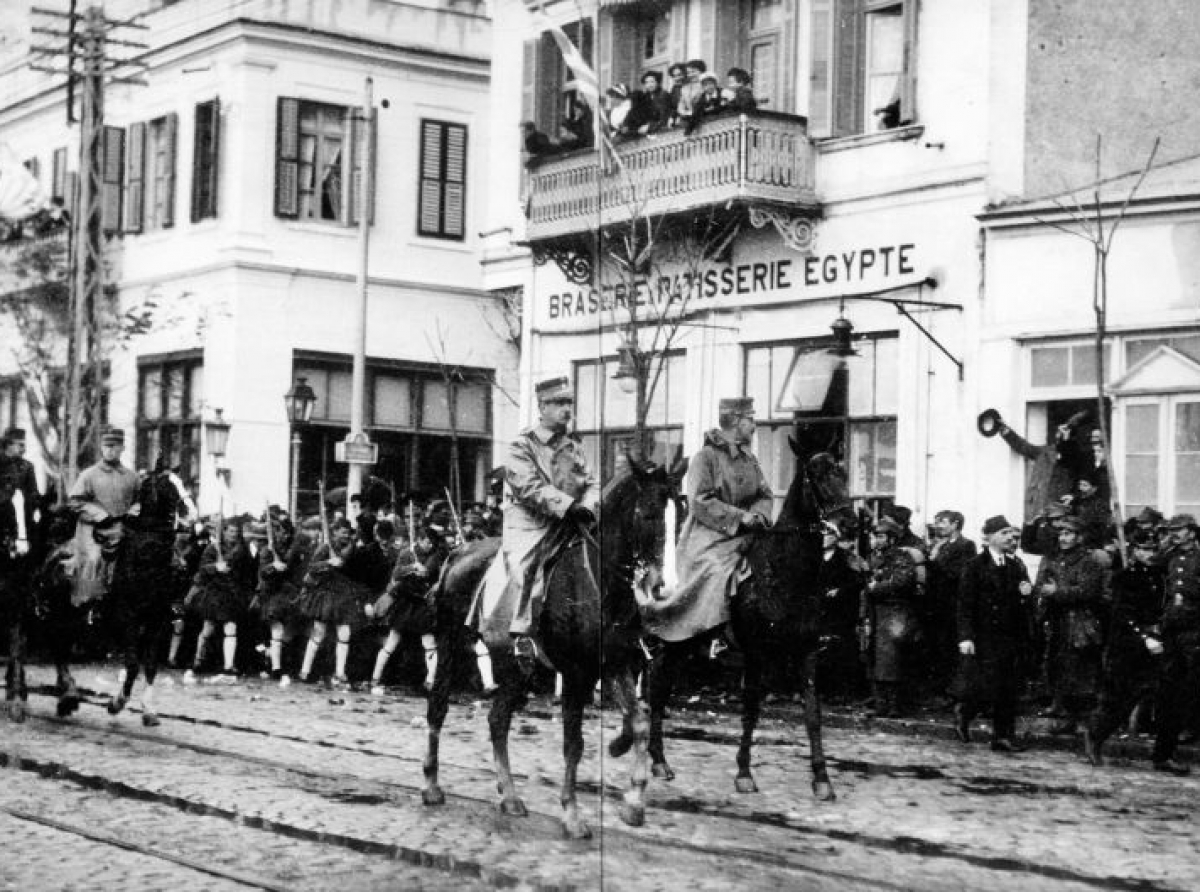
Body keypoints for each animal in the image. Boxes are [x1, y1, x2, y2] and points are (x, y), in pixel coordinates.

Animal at [105, 463, 194, 729]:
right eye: (168, 487)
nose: (193, 515)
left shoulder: (157, 619)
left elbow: (151, 665)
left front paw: (149, 710)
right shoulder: (127, 616)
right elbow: (133, 664)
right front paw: (117, 702)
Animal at [424, 461, 686, 835]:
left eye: (680, 514)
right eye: (649, 513)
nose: (665, 587)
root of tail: (460, 551)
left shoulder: (615, 663)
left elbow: (638, 721)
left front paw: (634, 801)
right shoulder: (578, 674)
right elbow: (573, 745)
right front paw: (572, 814)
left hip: (515, 666)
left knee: (498, 720)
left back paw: (510, 796)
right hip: (450, 645)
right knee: (438, 708)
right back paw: (432, 786)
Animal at [643, 446, 849, 801]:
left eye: (843, 473)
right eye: (816, 475)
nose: (847, 520)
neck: (783, 575)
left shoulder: (807, 652)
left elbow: (813, 713)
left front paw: (822, 779)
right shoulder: (756, 654)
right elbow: (751, 710)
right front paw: (743, 773)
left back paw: (658, 759)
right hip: (678, 637)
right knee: (657, 684)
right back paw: (658, 761)